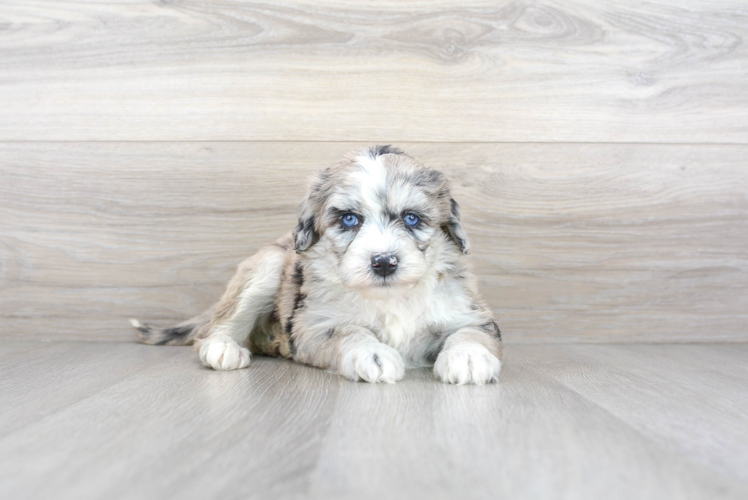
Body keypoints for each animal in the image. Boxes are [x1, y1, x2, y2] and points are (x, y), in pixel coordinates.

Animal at [133, 146, 502, 384]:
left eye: (411, 218)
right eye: (349, 219)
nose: (384, 262)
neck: (391, 298)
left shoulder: (472, 314)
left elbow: (469, 333)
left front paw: (468, 357)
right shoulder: (313, 327)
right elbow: (349, 332)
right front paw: (372, 354)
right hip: (267, 267)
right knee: (217, 326)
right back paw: (222, 349)